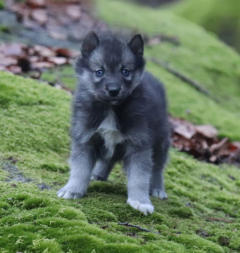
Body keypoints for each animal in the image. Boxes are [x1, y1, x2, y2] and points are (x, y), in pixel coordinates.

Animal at [57, 31, 170, 213]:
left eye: (125, 71)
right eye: (99, 72)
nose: (113, 90)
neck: (111, 108)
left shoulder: (139, 145)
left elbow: (139, 178)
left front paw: (140, 201)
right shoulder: (85, 138)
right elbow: (80, 169)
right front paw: (73, 189)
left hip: (161, 141)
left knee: (158, 167)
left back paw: (158, 188)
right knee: (107, 159)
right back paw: (98, 174)